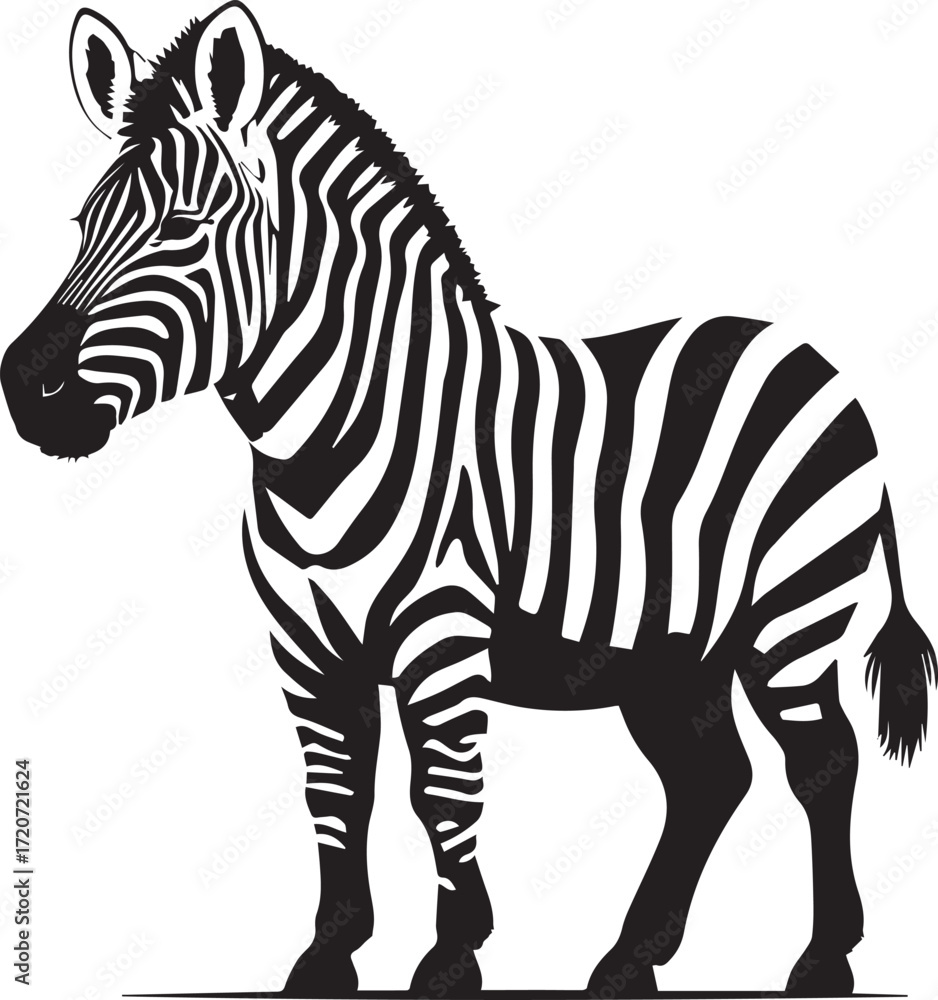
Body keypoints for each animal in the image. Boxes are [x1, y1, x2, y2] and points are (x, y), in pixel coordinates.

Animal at [1, 3, 934, 996]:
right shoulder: (306, 648)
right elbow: (335, 788)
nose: (24, 387)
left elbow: (440, 788)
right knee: (711, 778)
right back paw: (630, 958)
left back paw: (822, 957)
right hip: (675, 651)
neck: (327, 438)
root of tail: (816, 360)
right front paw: (328, 953)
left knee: (821, 760)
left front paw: (453, 953)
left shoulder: (440, 631)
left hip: (790, 614)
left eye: (185, 226)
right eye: (82, 223)